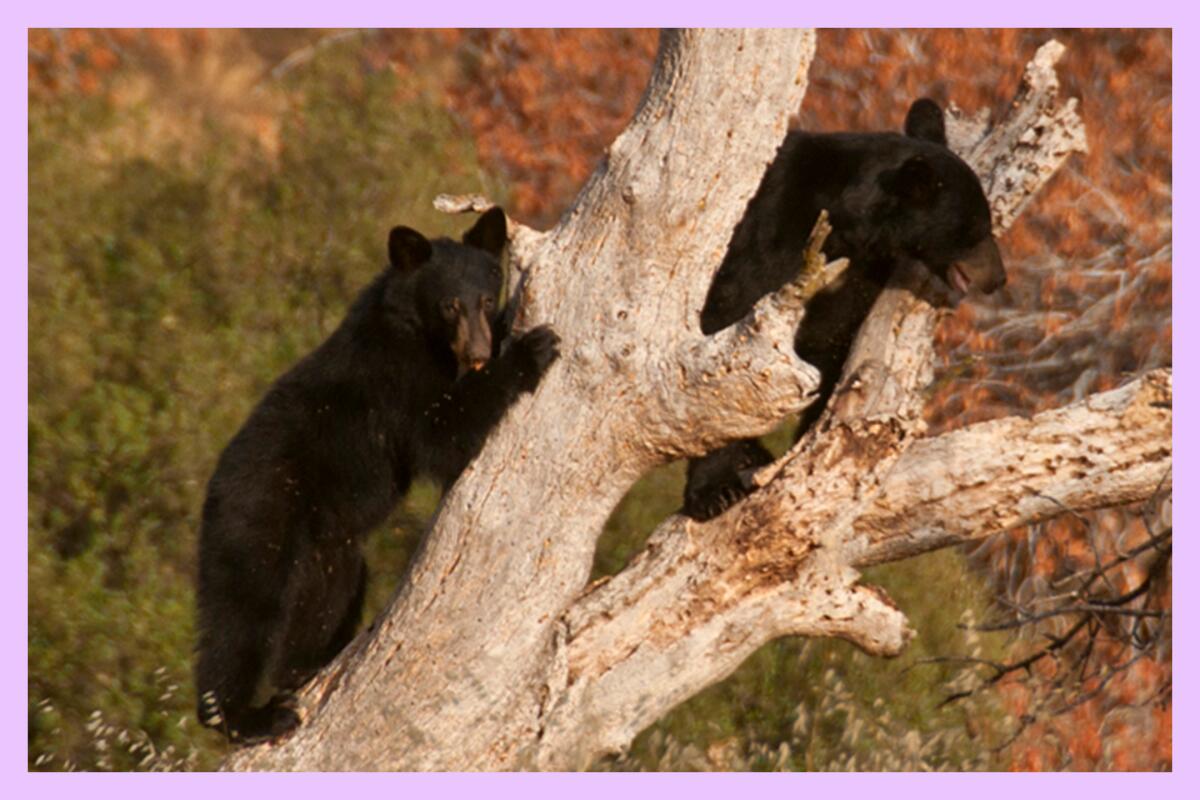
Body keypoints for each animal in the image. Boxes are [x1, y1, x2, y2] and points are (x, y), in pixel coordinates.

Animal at [194, 208, 559, 743]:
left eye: (487, 298)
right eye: (449, 304)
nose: (477, 351)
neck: (414, 329)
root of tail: (213, 489)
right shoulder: (396, 379)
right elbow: (441, 434)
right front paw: (533, 349)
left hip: (326, 550)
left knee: (325, 596)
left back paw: (305, 667)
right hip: (256, 518)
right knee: (242, 615)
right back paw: (248, 716)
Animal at [686, 100, 1003, 522]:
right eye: (974, 229)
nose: (998, 278)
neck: (844, 228)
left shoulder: (858, 275)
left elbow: (833, 345)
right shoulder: (768, 235)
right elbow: (726, 331)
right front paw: (715, 490)